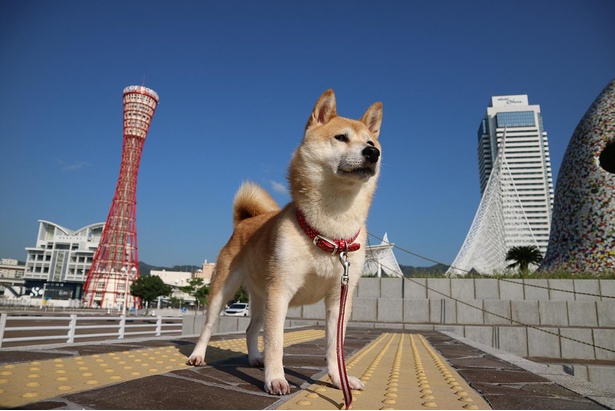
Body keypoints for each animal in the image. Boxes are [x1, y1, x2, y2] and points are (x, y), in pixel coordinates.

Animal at [185, 90, 382, 396]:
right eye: (341, 137)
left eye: (371, 143)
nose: (373, 153)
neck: (329, 230)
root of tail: (244, 221)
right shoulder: (281, 291)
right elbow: (276, 343)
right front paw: (276, 379)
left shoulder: (339, 298)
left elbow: (334, 347)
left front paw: (340, 380)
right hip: (224, 290)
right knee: (208, 326)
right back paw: (198, 355)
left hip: (260, 296)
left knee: (250, 330)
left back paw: (255, 358)